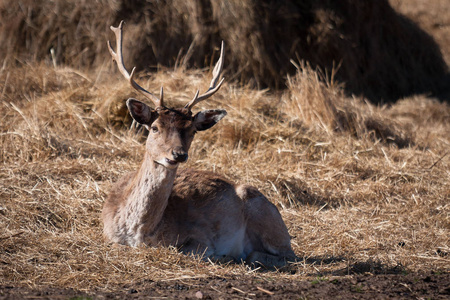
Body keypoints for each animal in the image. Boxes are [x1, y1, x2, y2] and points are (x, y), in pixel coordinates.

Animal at [103, 21, 298, 270]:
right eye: (154, 127)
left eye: (192, 130)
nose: (178, 154)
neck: (139, 233)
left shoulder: (200, 237)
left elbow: (190, 251)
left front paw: (222, 255)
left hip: (267, 218)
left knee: (287, 256)